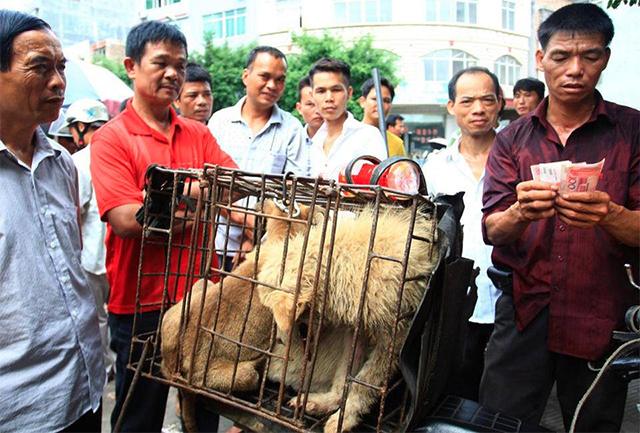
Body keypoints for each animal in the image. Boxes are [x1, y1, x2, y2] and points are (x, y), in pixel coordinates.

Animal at [256, 204, 440, 430]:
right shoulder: (356, 330)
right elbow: (345, 374)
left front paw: (345, 418)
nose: (279, 340)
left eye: (298, 323)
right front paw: (330, 402)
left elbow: (364, 383)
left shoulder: (394, 339)